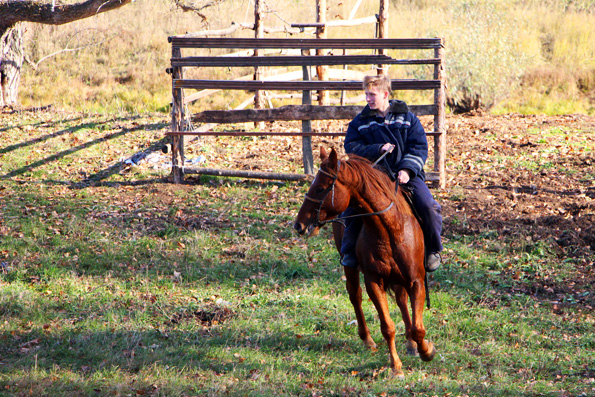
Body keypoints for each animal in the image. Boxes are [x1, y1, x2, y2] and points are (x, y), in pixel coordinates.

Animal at [294, 147, 438, 376]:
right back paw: (368, 339)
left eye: (320, 188)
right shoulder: (374, 281)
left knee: (401, 301)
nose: (298, 225)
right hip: (351, 268)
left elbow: (418, 327)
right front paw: (396, 366)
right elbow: (387, 327)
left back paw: (411, 344)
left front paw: (426, 351)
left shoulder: (415, 280)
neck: (391, 229)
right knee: (355, 295)